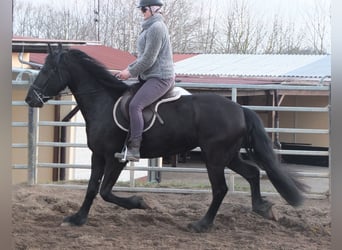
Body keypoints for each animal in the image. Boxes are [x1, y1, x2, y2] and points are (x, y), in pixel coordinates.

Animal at [25, 44, 306, 232]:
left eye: (47, 70)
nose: (30, 99)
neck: (103, 102)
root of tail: (240, 109)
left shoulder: (116, 158)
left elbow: (105, 191)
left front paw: (141, 202)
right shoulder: (98, 156)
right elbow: (93, 188)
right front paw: (77, 218)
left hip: (215, 157)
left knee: (221, 188)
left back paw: (201, 224)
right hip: (228, 155)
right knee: (252, 173)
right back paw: (262, 208)